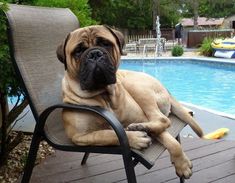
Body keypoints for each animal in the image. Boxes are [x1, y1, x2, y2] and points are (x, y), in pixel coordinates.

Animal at [56, 25, 203, 179]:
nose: (95, 54)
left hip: (136, 87)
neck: (104, 95)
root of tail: (166, 90)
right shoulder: (79, 136)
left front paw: (182, 164)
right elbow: (105, 134)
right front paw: (136, 138)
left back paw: (141, 127)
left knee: (162, 119)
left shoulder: (141, 116)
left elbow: (171, 141)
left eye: (105, 43)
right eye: (78, 51)